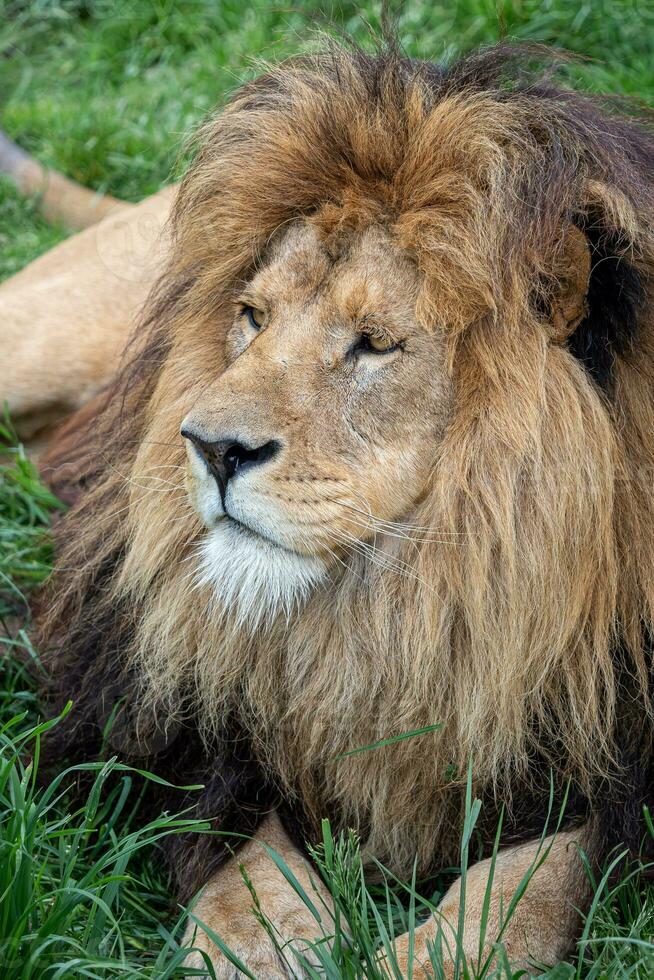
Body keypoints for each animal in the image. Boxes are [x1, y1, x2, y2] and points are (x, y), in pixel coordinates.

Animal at [1, 36, 654, 972]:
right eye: (251, 316)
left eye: (374, 344)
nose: (210, 448)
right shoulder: (157, 723)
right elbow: (244, 863)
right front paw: (265, 947)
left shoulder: (606, 764)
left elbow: (526, 893)